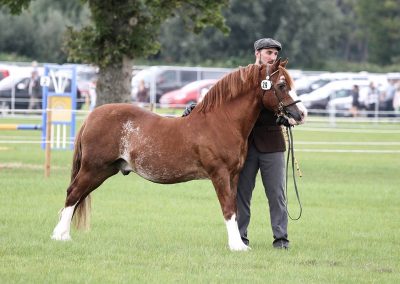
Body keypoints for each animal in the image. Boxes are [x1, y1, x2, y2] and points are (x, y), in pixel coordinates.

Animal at [51, 59, 304, 251]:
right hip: (93, 169)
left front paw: (239, 243)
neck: (221, 122)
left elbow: (235, 208)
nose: (299, 114)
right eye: (282, 85)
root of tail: (92, 117)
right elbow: (228, 208)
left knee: (77, 196)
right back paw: (60, 236)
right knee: (73, 193)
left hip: (102, 171)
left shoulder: (234, 175)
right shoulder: (220, 174)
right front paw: (236, 246)